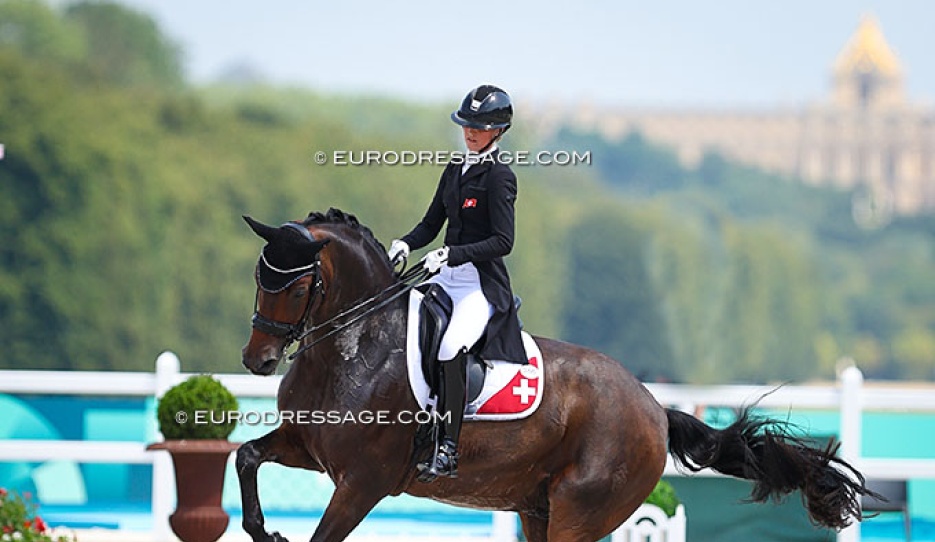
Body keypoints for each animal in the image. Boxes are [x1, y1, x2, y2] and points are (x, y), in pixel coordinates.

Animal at [238, 208, 872, 542]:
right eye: (258, 277)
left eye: (296, 284)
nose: (257, 361)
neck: (356, 346)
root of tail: (653, 409)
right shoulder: (306, 447)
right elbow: (246, 456)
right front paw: (262, 529)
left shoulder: (364, 481)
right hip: (536, 507)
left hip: (579, 511)